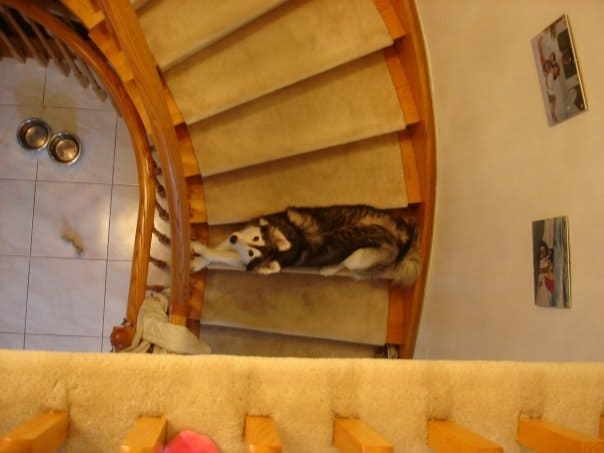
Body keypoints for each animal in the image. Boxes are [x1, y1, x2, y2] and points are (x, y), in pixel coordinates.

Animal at [191, 205, 422, 286]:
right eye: (256, 238)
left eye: (252, 250)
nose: (233, 240)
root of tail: (397, 236)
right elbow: (220, 248)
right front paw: (200, 258)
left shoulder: (247, 263)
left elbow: (220, 255)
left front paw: (200, 253)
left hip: (360, 258)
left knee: (348, 263)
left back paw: (329, 268)